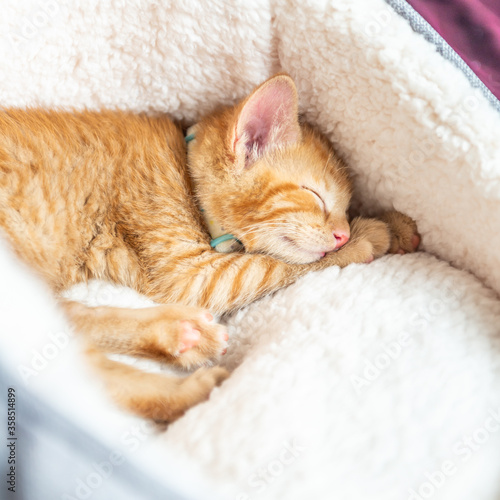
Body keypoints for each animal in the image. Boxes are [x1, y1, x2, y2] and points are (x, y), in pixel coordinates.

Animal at [0, 74, 420, 422]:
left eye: (345, 209)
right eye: (314, 196)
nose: (342, 235)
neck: (184, 177)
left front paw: (390, 225)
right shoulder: (188, 275)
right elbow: (272, 265)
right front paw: (368, 238)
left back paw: (178, 335)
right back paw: (188, 387)